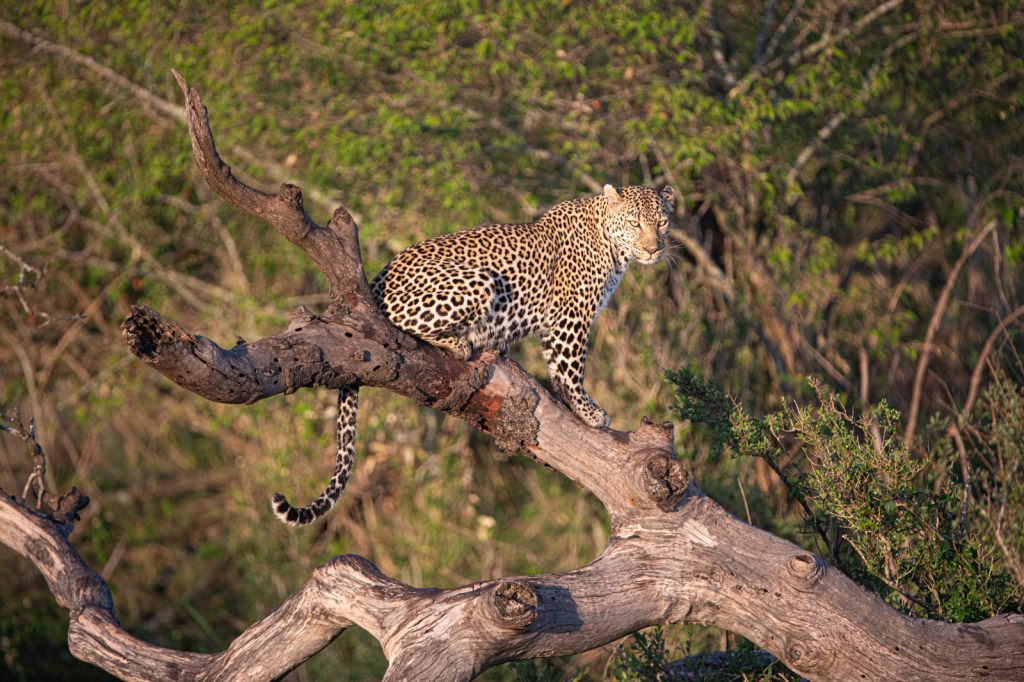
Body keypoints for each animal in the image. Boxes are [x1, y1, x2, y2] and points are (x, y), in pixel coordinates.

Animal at [270, 183, 671, 522]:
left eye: (662, 222)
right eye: (635, 223)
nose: (655, 249)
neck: (612, 246)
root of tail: (373, 284)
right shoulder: (570, 318)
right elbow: (570, 370)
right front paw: (589, 413)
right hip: (479, 280)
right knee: (400, 327)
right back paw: (464, 341)